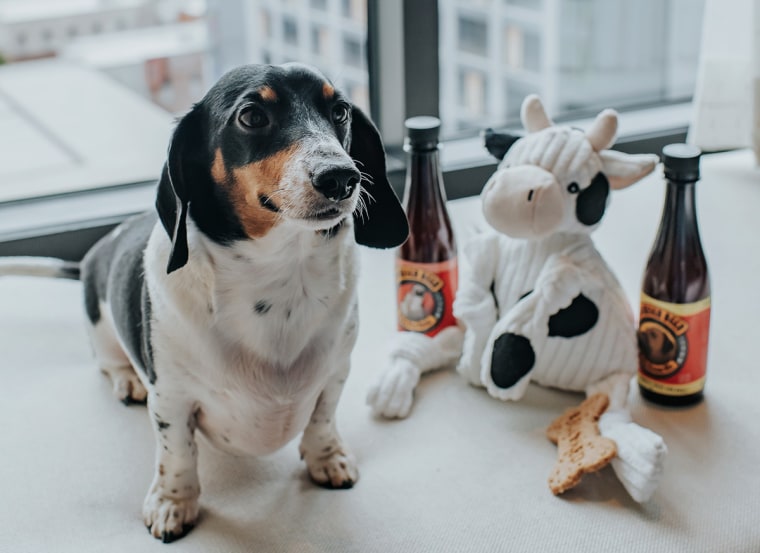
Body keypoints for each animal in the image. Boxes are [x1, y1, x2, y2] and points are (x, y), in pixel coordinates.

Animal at [2, 63, 410, 540]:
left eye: (340, 110)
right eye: (251, 116)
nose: (342, 177)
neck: (281, 281)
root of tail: (92, 255)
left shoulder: (335, 374)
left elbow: (322, 420)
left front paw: (328, 459)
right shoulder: (172, 400)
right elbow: (177, 453)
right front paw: (172, 503)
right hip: (100, 325)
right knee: (108, 359)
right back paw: (127, 380)